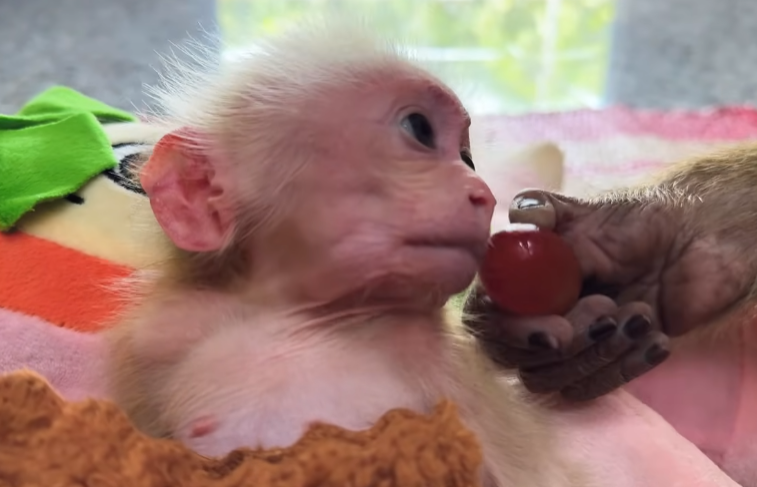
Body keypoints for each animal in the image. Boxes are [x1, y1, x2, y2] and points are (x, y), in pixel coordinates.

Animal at [101, 20, 666, 487]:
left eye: (466, 157)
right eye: (419, 129)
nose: (482, 193)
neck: (305, 315)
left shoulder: (452, 369)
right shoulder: (161, 334)